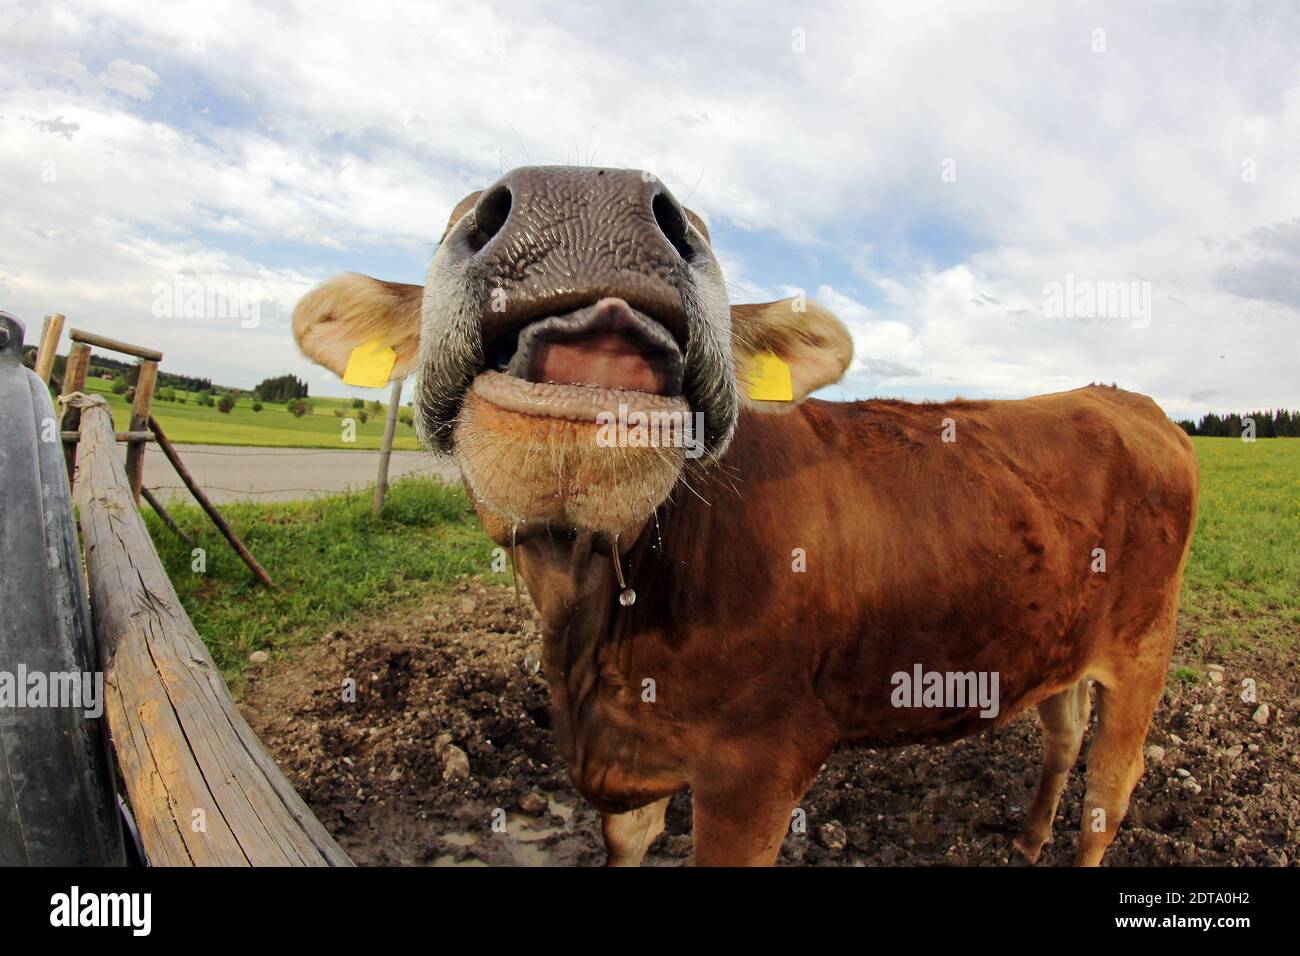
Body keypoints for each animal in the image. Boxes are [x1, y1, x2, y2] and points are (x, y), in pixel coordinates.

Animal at [292, 164, 1196, 868]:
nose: (588, 196)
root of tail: (1120, 397)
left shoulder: (760, 765)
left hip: (1144, 651)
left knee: (1111, 791)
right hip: (1057, 641)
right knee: (1063, 731)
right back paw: (1028, 840)